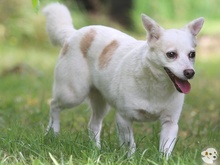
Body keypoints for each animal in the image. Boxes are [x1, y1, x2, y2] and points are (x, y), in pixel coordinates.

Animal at [43, 2, 205, 159]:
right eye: (171, 54)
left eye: (192, 54)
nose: (190, 72)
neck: (156, 85)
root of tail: (73, 34)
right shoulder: (124, 118)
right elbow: (130, 144)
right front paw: (131, 159)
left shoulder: (170, 123)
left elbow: (165, 149)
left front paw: (163, 160)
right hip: (73, 94)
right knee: (54, 105)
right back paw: (52, 132)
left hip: (100, 102)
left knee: (93, 125)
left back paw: (96, 149)